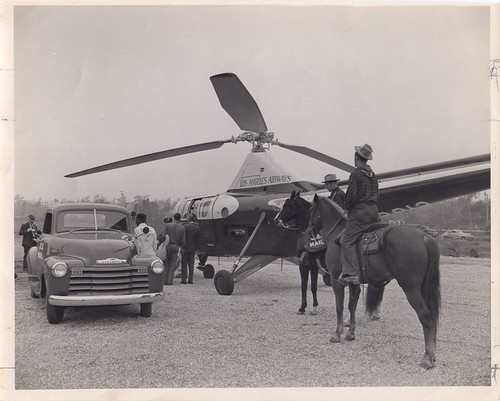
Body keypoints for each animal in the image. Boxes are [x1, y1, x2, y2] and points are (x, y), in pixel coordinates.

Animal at [310, 194, 444, 368]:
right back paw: (432, 355)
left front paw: (337, 334)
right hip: (423, 288)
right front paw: (350, 333)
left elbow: (340, 307)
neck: (337, 235)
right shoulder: (354, 283)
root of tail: (424, 237)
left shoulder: (335, 279)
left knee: (426, 315)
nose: (309, 229)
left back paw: (427, 358)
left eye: (311, 210)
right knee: (432, 316)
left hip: (411, 289)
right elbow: (352, 306)